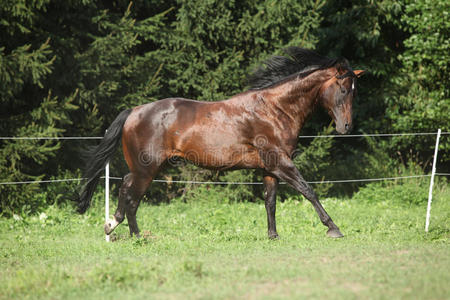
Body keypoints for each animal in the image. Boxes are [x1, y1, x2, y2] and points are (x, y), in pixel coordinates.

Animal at [76, 47, 366, 239]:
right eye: (343, 89)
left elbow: (270, 200)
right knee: (131, 194)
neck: (274, 110)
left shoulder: (269, 168)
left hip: (146, 168)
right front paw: (333, 228)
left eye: (355, 92)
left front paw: (273, 236)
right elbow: (308, 190)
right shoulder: (282, 163)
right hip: (146, 168)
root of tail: (133, 111)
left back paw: (115, 227)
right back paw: (133, 234)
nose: (346, 127)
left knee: (126, 188)